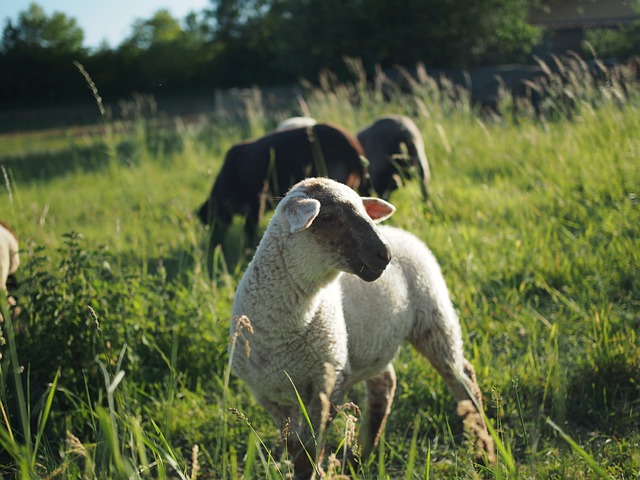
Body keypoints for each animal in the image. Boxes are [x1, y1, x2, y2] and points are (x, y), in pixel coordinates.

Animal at [230, 178, 496, 478]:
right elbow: (293, 446)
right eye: (328, 217)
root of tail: (398, 231)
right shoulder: (268, 395)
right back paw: (359, 458)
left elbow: (307, 452)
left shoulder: (330, 382)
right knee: (385, 385)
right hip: (374, 342)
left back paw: (484, 453)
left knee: (463, 381)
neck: (285, 330)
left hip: (435, 316)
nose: (385, 254)